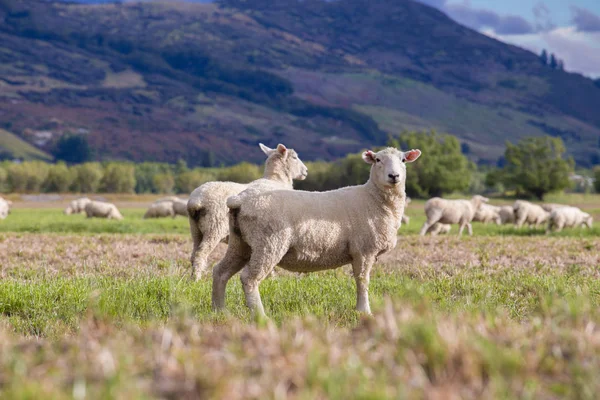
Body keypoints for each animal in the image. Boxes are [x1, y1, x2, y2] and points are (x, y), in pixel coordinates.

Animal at [186, 145, 310, 282]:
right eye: (294, 157)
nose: (306, 171)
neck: (276, 180)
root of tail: (196, 201)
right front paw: (271, 278)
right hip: (214, 227)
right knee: (200, 253)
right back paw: (196, 279)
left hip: (195, 230)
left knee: (193, 254)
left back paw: (192, 278)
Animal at [212, 147, 422, 316]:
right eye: (378, 160)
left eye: (403, 160)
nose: (394, 176)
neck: (373, 199)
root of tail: (240, 200)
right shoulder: (364, 250)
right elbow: (363, 281)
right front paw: (364, 311)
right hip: (269, 243)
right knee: (249, 278)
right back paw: (260, 316)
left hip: (240, 242)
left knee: (220, 271)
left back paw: (220, 311)